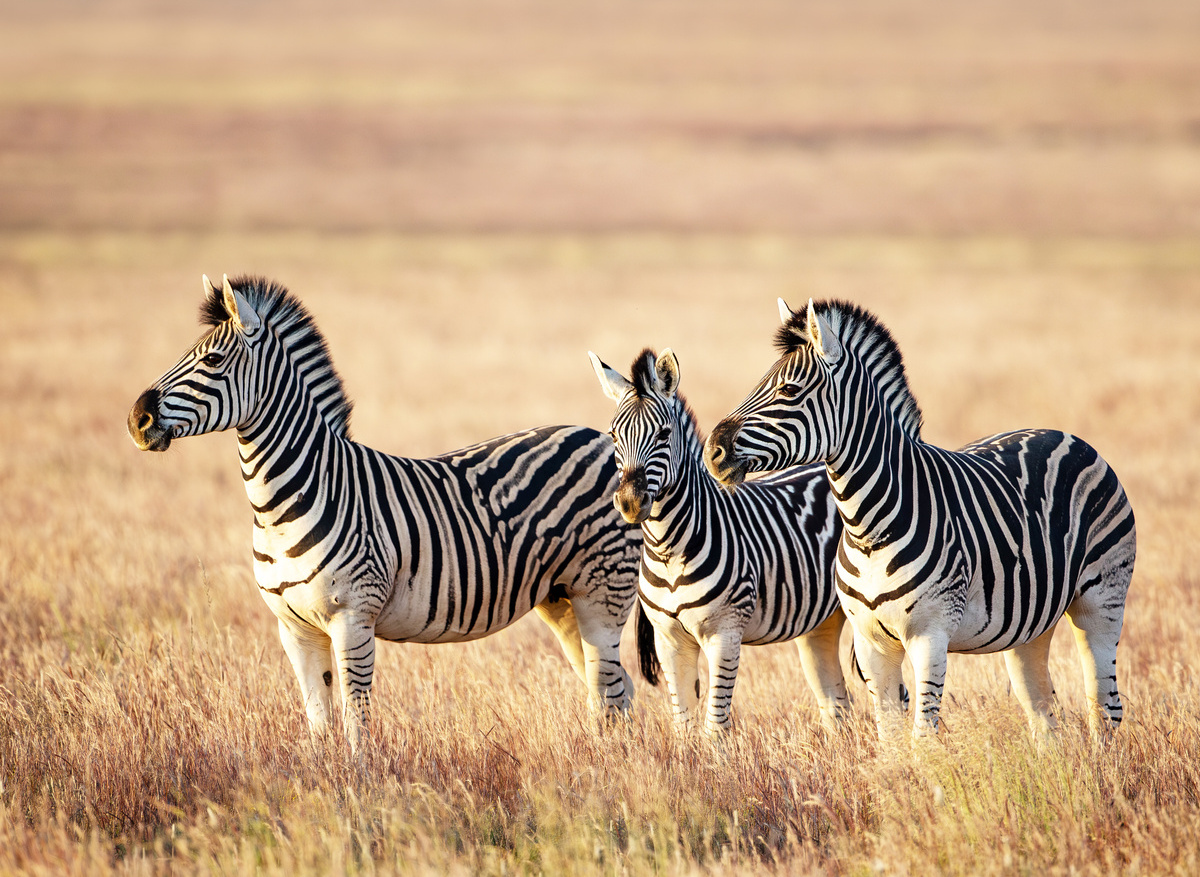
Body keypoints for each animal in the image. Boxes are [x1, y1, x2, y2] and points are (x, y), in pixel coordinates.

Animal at [127, 274, 647, 754]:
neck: (286, 502)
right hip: (561, 599)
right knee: (615, 692)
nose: (137, 420)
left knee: (610, 694)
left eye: (213, 361)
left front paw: (360, 786)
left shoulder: (353, 618)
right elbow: (319, 724)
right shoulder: (293, 629)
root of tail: (600, 438)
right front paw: (322, 782)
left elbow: (356, 724)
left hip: (603, 594)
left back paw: (609, 769)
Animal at [590, 347, 848, 734]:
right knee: (837, 703)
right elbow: (682, 723)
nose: (631, 502)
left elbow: (715, 726)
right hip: (822, 620)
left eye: (664, 434)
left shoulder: (724, 633)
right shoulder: (668, 639)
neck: (668, 549)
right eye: (613, 435)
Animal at [703, 298, 1136, 740]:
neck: (868, 529)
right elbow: (889, 735)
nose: (712, 451)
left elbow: (922, 737)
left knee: (1105, 705)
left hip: (1101, 601)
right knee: (1042, 710)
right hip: (1032, 621)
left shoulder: (930, 636)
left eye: (789, 390)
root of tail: (1067, 436)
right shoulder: (870, 641)